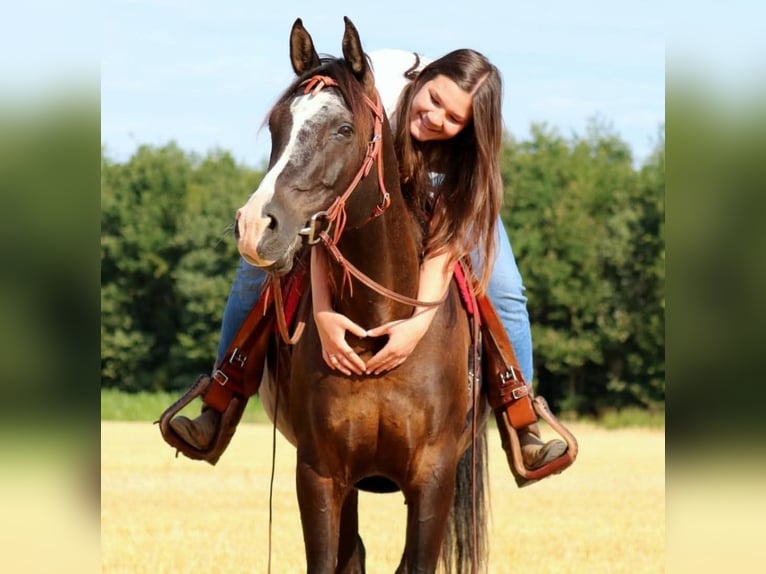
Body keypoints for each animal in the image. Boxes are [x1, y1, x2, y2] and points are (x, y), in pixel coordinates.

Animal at [235, 17, 491, 573]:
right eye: (278, 126)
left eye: (343, 129)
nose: (255, 226)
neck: (378, 322)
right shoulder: (320, 473)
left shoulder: (433, 478)